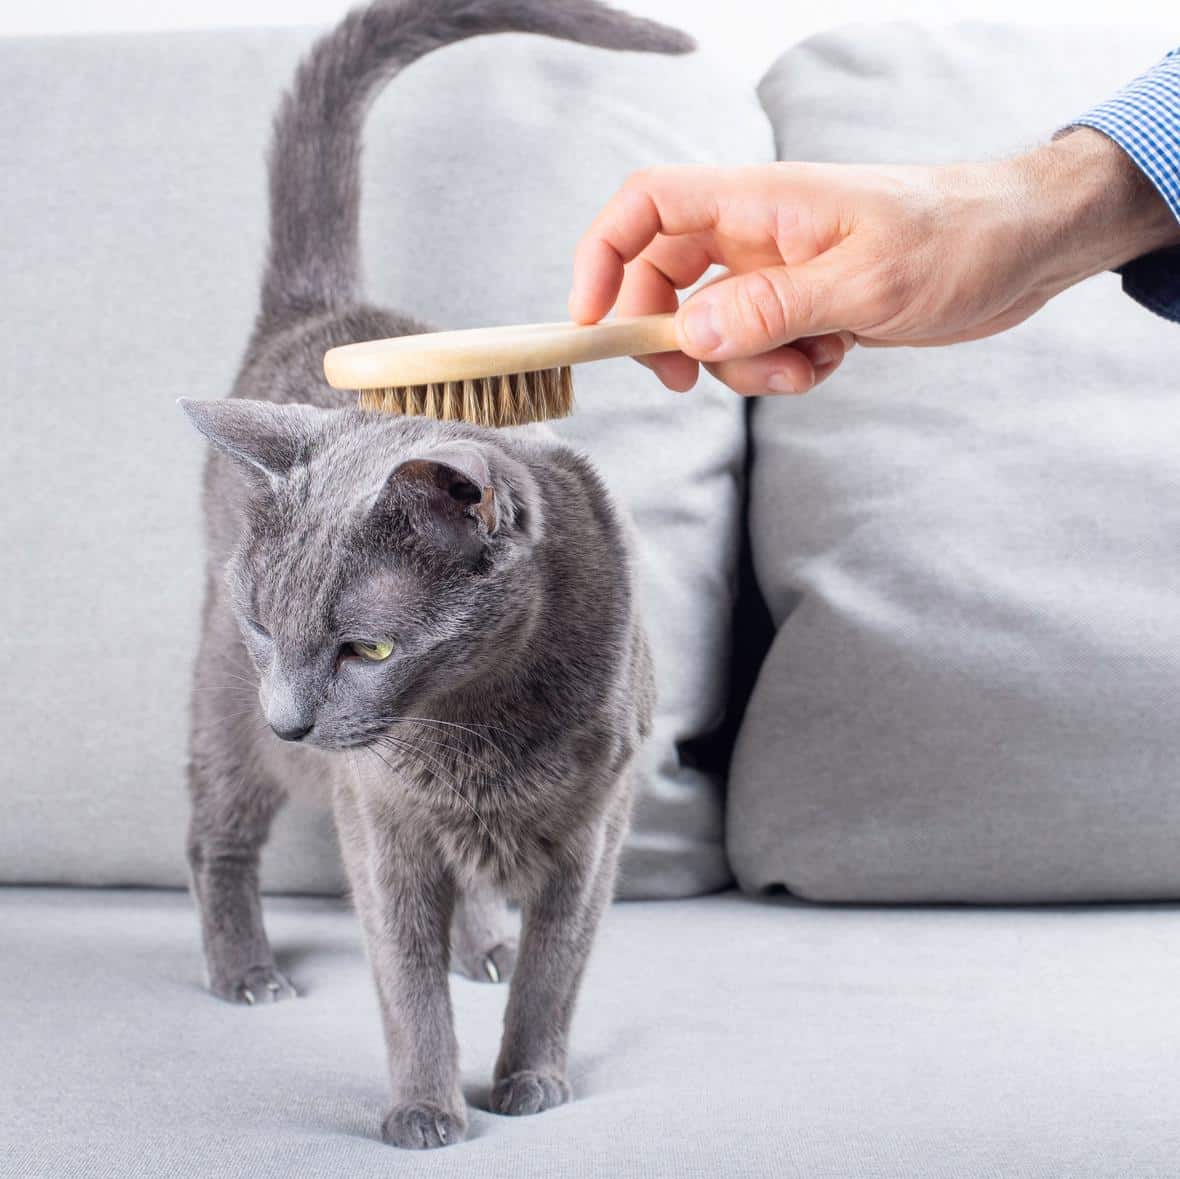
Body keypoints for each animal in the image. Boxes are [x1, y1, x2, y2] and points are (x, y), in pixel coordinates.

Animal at [179, 0, 689, 1151]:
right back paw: (248, 971)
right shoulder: (380, 822)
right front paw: (425, 1110)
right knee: (216, 832)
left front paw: (530, 1080)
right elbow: (403, 979)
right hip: (221, 705)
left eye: (367, 647)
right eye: (269, 628)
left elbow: (557, 969)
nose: (292, 720)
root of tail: (328, 313)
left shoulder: (597, 829)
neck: (474, 723)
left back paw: (483, 943)